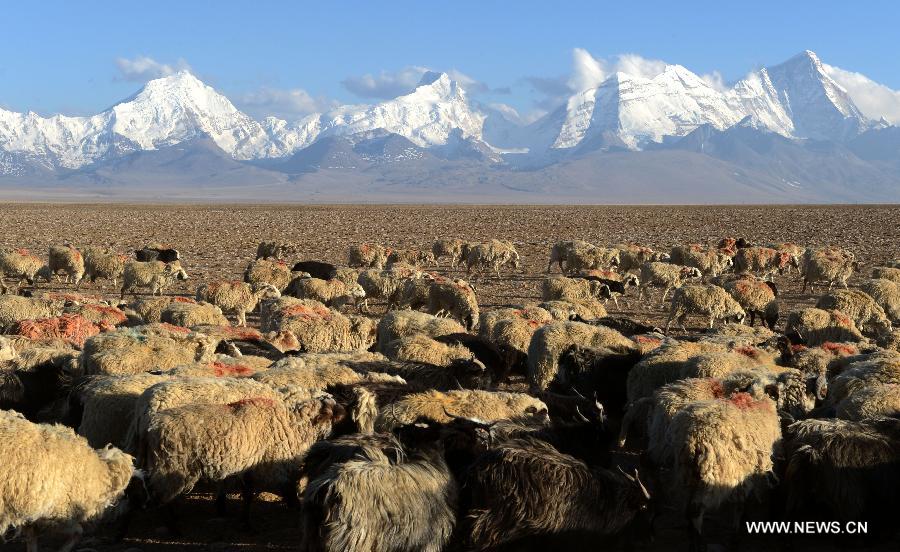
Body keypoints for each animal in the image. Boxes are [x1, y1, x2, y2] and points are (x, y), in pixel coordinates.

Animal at [144, 394, 344, 520]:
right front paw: (294, 505)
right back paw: (173, 525)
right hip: (172, 465)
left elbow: (248, 493)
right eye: (335, 415)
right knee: (161, 497)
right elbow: (287, 486)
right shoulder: (272, 464)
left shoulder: (251, 466)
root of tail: (152, 427)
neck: (293, 424)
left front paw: (243, 519)